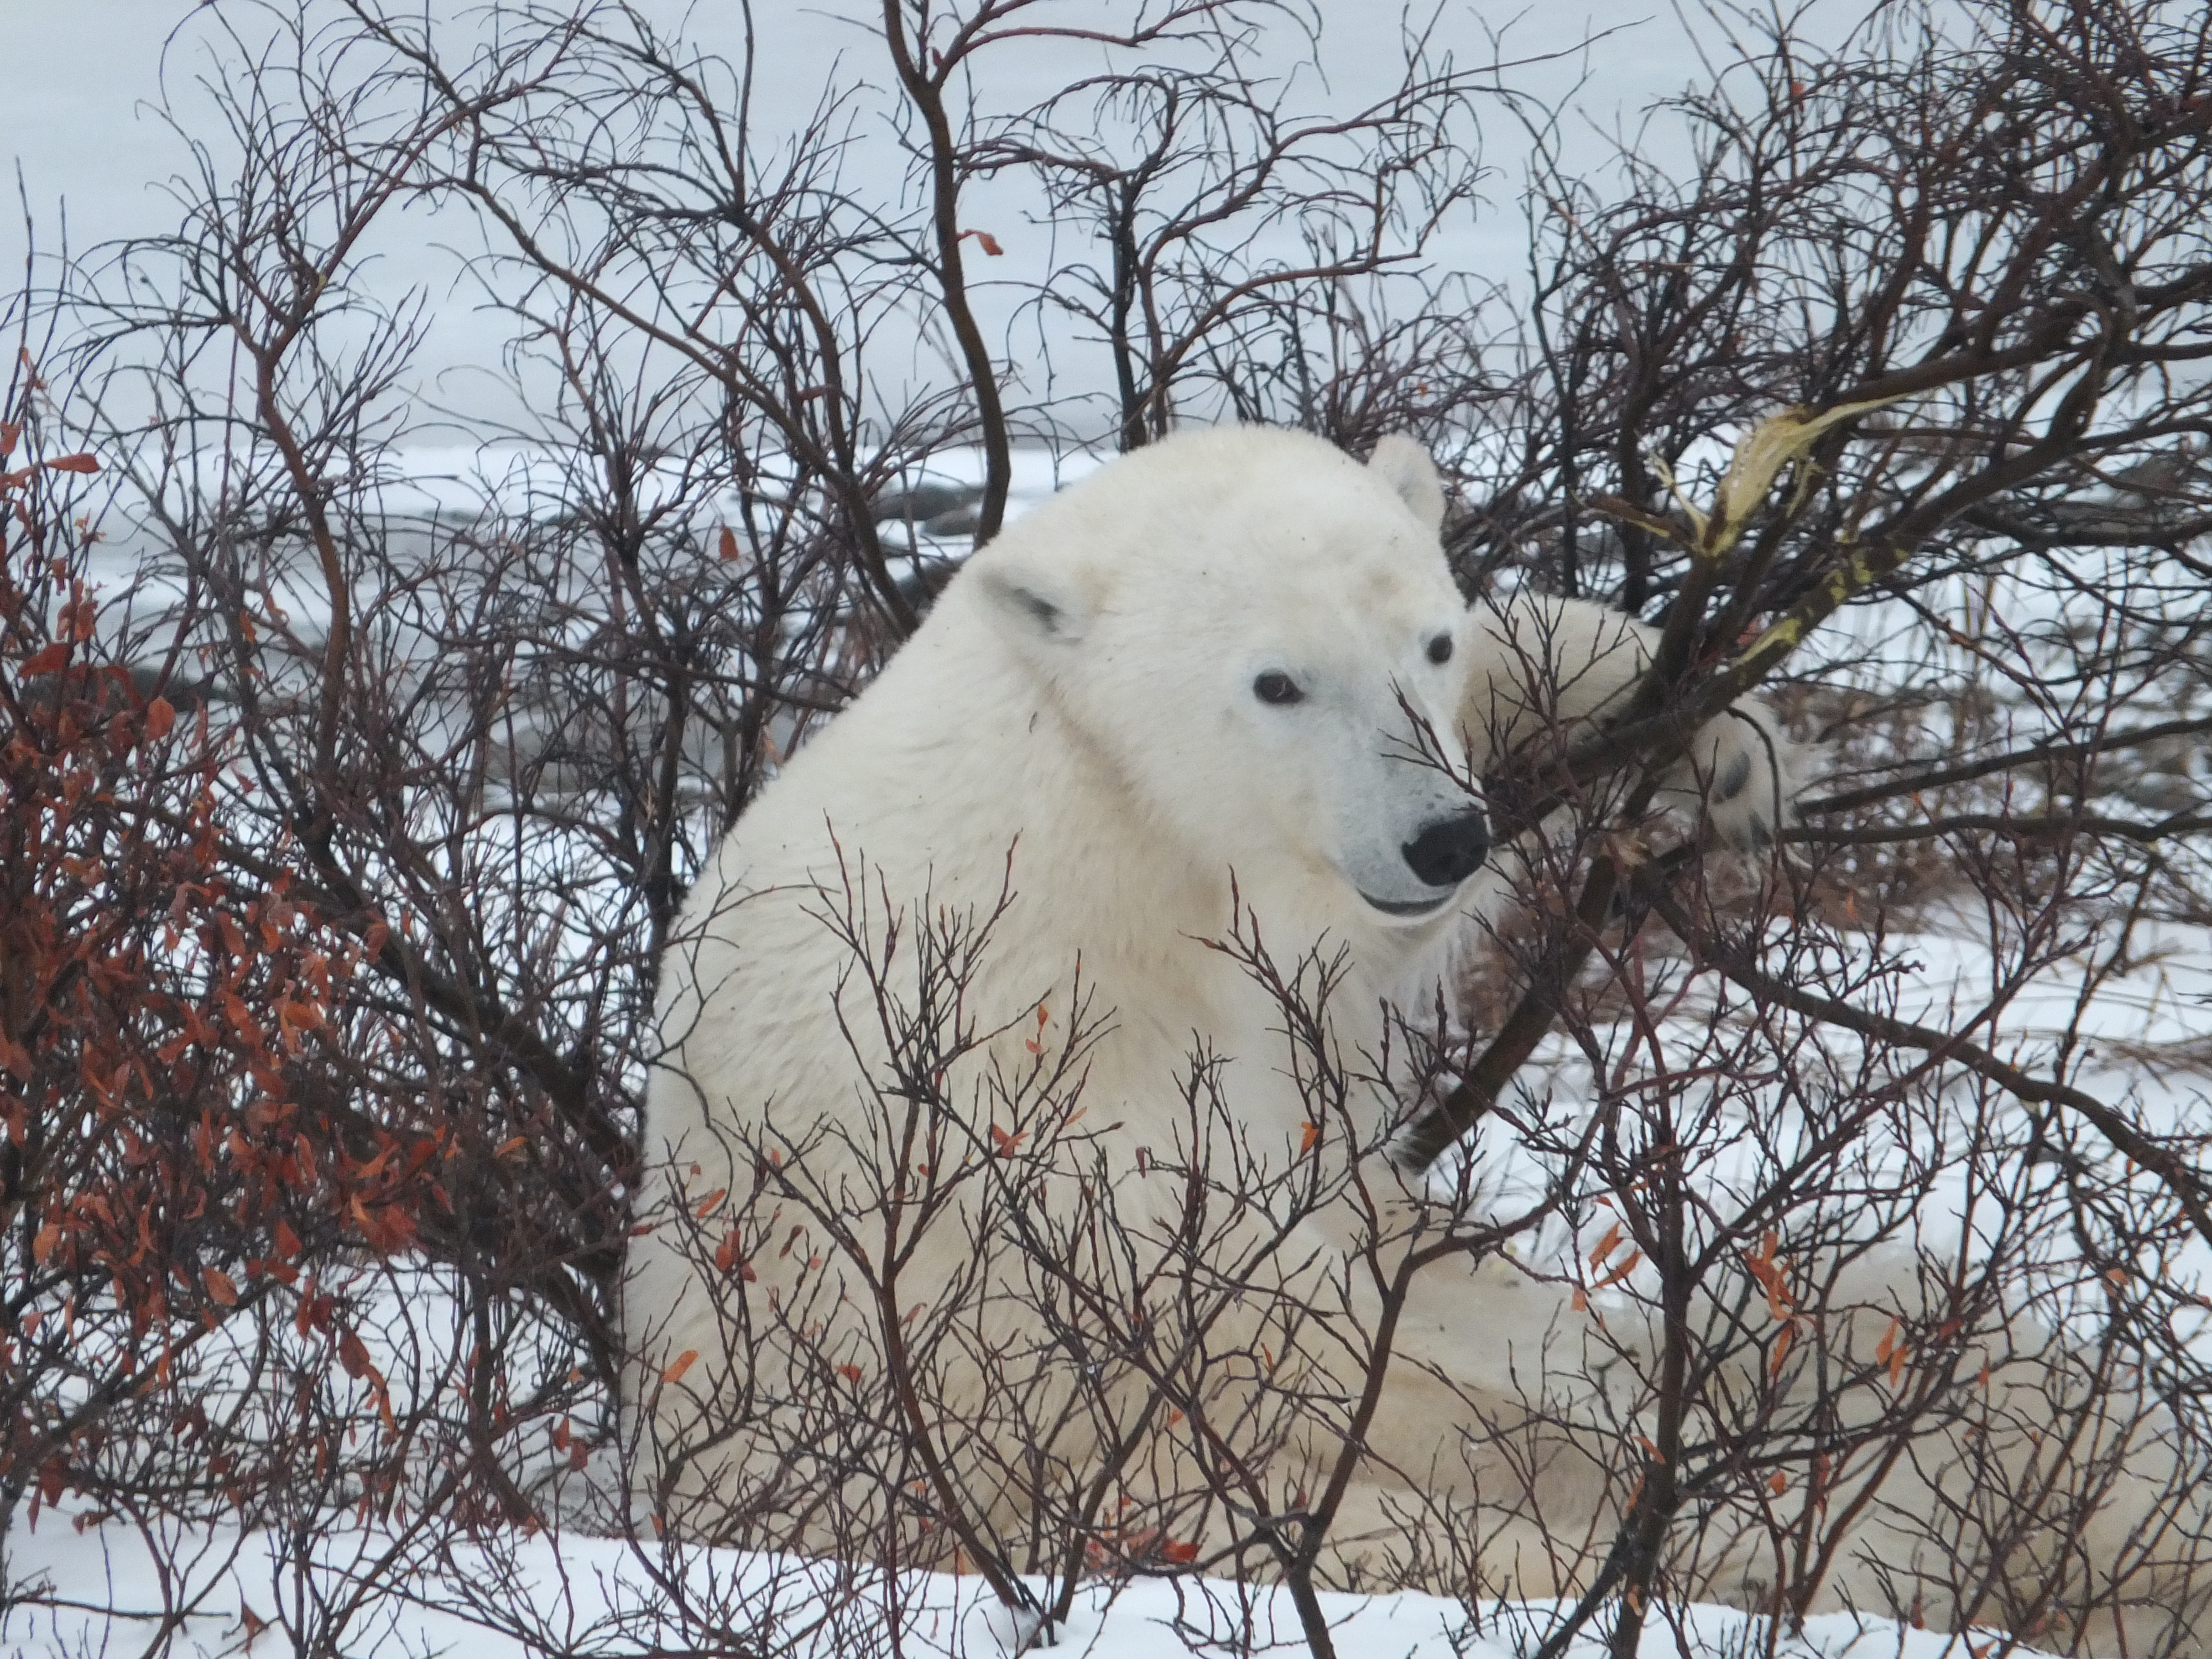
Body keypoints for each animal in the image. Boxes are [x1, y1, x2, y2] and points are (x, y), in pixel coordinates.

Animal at [620, 426, 2203, 1650]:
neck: (1099, 801)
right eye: (1275, 680)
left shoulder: (1290, 936)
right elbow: (1200, 1290)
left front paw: (1722, 737)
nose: (1440, 836)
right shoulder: (999, 1029)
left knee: (1883, 1299)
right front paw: (1682, 1450)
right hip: (1055, 1493)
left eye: (1423, 641)